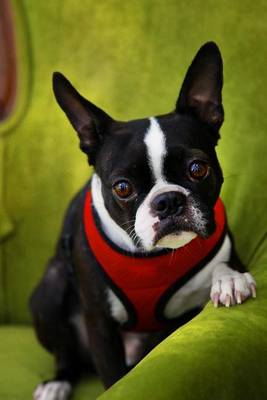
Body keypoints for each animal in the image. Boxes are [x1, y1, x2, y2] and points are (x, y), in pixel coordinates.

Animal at [29, 41, 258, 400]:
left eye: (198, 169)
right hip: (50, 288)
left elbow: (226, 266)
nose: (168, 201)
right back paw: (57, 381)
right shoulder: (101, 325)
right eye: (122, 187)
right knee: (65, 353)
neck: (156, 257)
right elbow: (114, 377)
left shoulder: (228, 251)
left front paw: (230, 279)